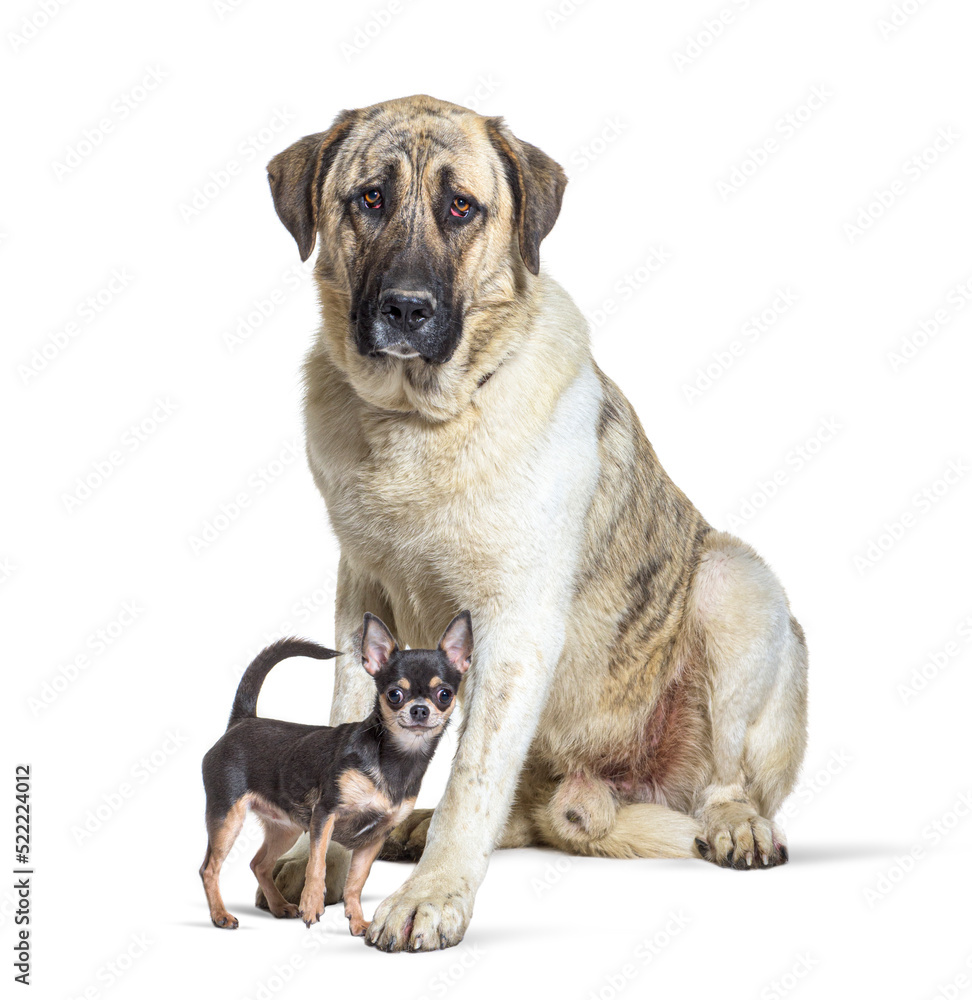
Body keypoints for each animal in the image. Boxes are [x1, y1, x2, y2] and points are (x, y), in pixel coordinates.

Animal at [262, 95, 808, 952]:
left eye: (461, 206)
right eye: (370, 198)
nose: (406, 309)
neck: (419, 421)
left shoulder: (514, 628)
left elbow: (473, 778)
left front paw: (431, 897)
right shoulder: (361, 598)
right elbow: (349, 722)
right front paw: (319, 860)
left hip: (737, 584)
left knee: (726, 782)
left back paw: (736, 826)